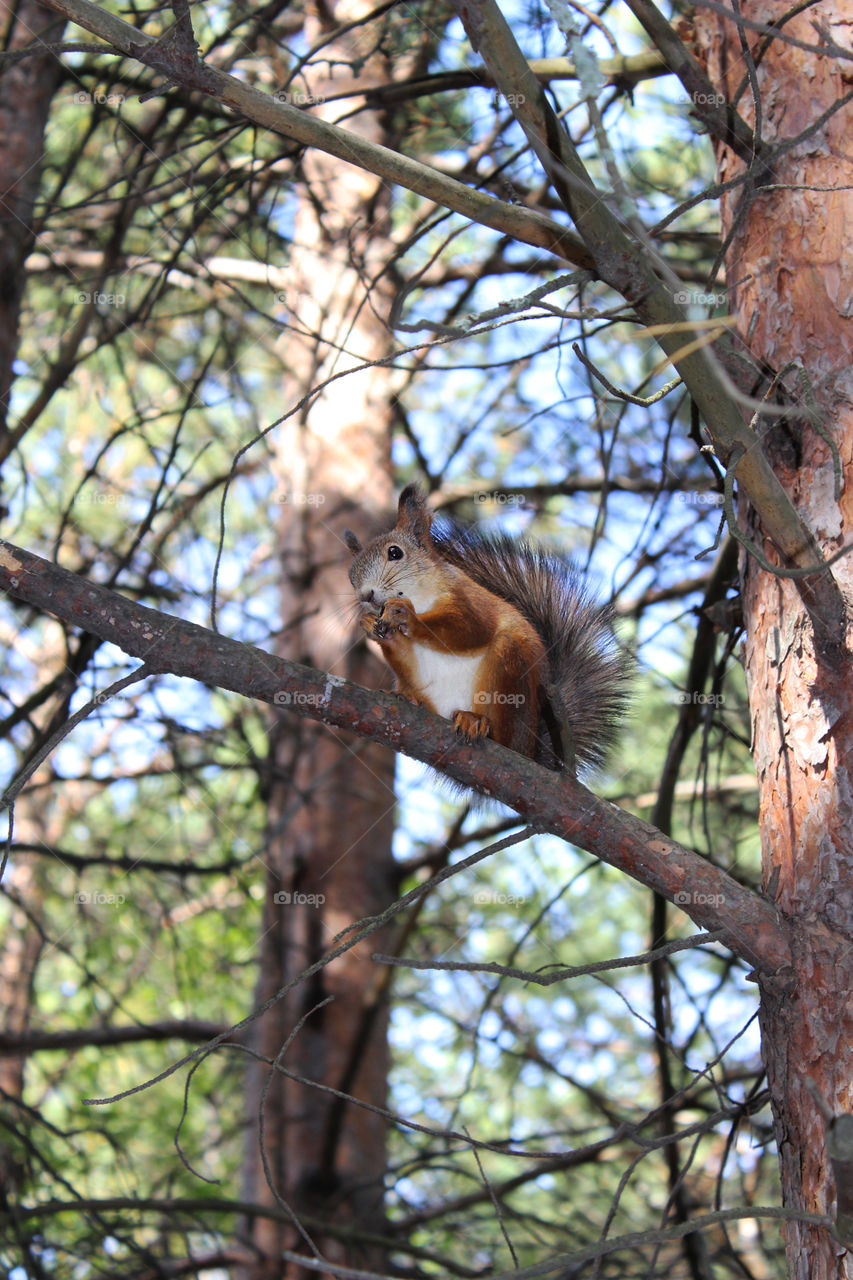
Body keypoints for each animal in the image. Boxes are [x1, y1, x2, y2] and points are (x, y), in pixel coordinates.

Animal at [344, 485, 627, 775]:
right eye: (351, 576)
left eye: (394, 553)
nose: (365, 595)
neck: (422, 597)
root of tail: (532, 750)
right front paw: (375, 627)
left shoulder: (471, 600)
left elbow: (470, 629)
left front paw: (408, 617)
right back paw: (413, 699)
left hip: (511, 669)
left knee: (504, 734)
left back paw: (478, 722)